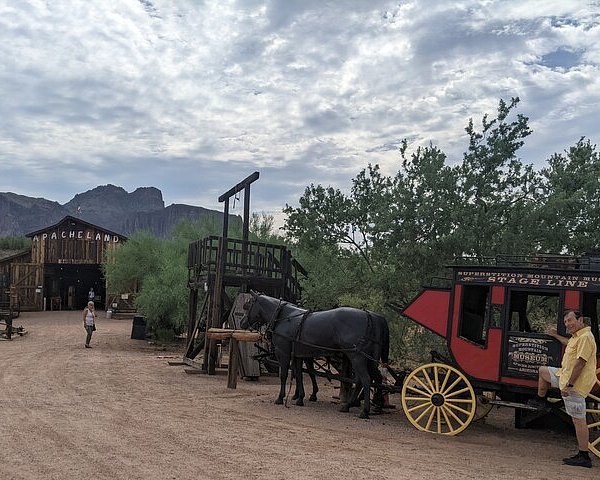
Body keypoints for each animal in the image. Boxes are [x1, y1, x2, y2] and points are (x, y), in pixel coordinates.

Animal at [240, 290, 390, 418]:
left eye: (248, 305)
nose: (242, 322)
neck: (284, 317)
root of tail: (369, 316)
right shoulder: (298, 355)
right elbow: (299, 375)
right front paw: (300, 398)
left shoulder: (283, 353)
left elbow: (284, 375)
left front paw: (280, 398)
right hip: (368, 359)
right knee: (367, 379)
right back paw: (352, 405)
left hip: (357, 357)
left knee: (365, 379)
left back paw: (364, 410)